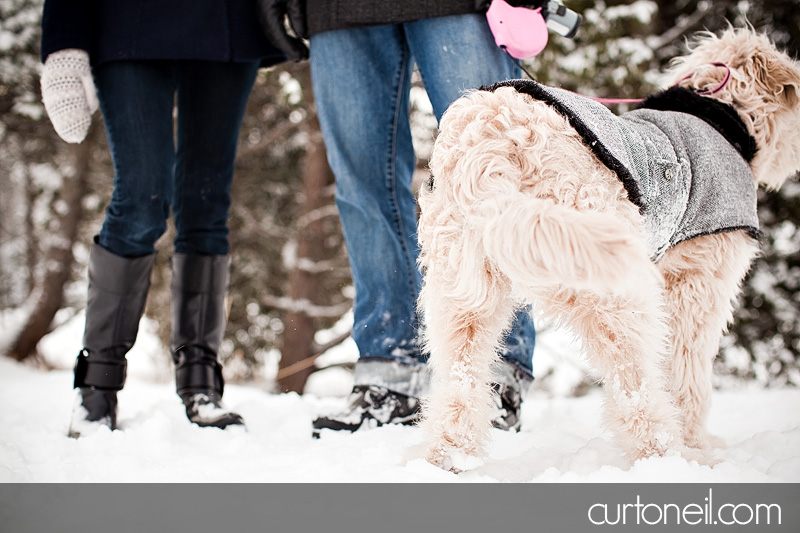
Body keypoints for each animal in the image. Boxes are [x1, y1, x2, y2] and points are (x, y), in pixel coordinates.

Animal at [418, 29, 800, 470]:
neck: (725, 115)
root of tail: (491, 138)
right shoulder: (699, 286)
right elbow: (687, 372)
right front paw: (697, 445)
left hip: (462, 295)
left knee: (459, 383)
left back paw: (448, 458)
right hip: (608, 284)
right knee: (633, 385)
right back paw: (665, 457)